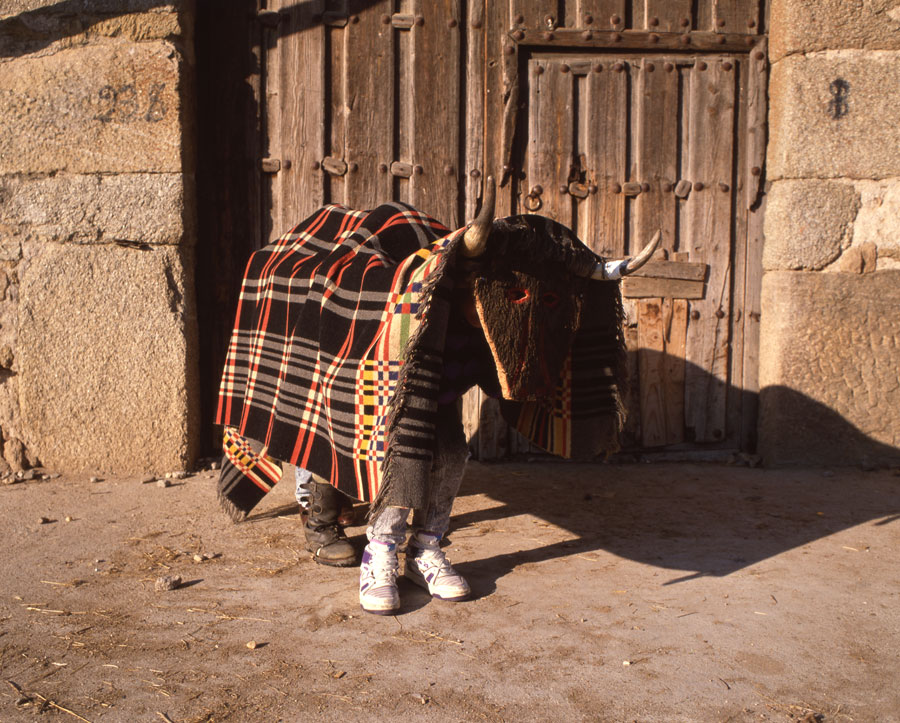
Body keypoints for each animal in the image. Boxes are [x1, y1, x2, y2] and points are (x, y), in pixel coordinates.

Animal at [215, 178, 658, 614]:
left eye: (555, 299)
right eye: (516, 291)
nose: (532, 386)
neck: (457, 313)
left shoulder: (440, 397)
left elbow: (446, 464)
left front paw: (428, 561)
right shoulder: (388, 397)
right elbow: (392, 480)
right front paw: (380, 573)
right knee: (310, 455)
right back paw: (324, 530)